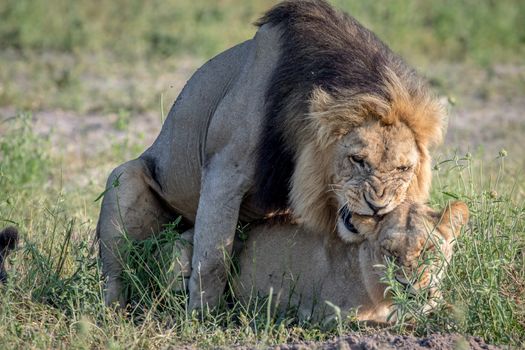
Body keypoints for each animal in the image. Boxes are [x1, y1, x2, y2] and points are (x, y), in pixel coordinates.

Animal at [96, 0, 444, 308]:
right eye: (358, 160)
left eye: (403, 169)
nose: (378, 207)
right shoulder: (224, 172)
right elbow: (212, 260)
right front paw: (201, 317)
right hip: (124, 178)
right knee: (114, 274)